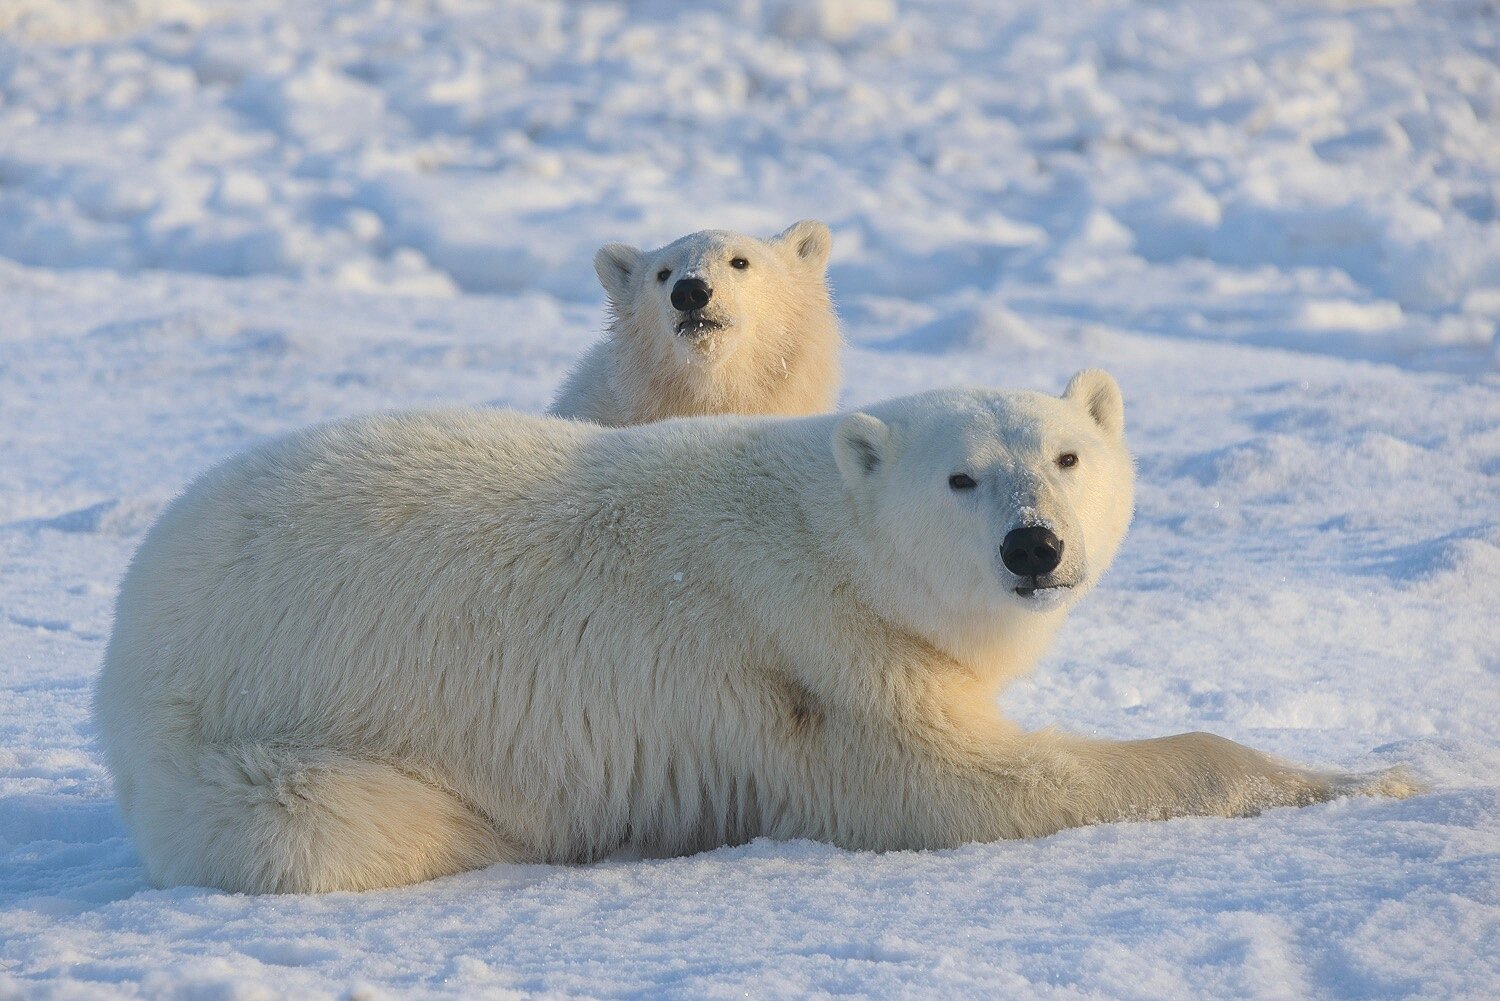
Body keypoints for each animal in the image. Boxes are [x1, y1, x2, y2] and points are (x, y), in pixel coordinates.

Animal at [96, 373, 1416, 894]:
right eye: (961, 476)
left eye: (1068, 455)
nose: (1035, 547)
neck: (829, 530)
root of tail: (120, 644)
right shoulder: (819, 654)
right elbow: (965, 787)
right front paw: (1376, 772)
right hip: (246, 736)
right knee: (329, 820)